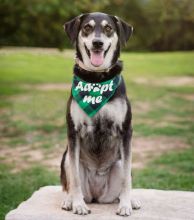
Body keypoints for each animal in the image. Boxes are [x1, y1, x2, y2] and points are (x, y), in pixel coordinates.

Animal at [60, 12, 141, 217]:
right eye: (87, 28)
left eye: (108, 28)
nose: (97, 43)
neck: (97, 79)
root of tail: (97, 196)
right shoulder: (73, 132)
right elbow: (74, 180)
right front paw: (78, 204)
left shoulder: (126, 131)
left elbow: (127, 179)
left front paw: (126, 204)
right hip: (66, 157)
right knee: (69, 182)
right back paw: (69, 200)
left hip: (118, 163)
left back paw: (130, 199)